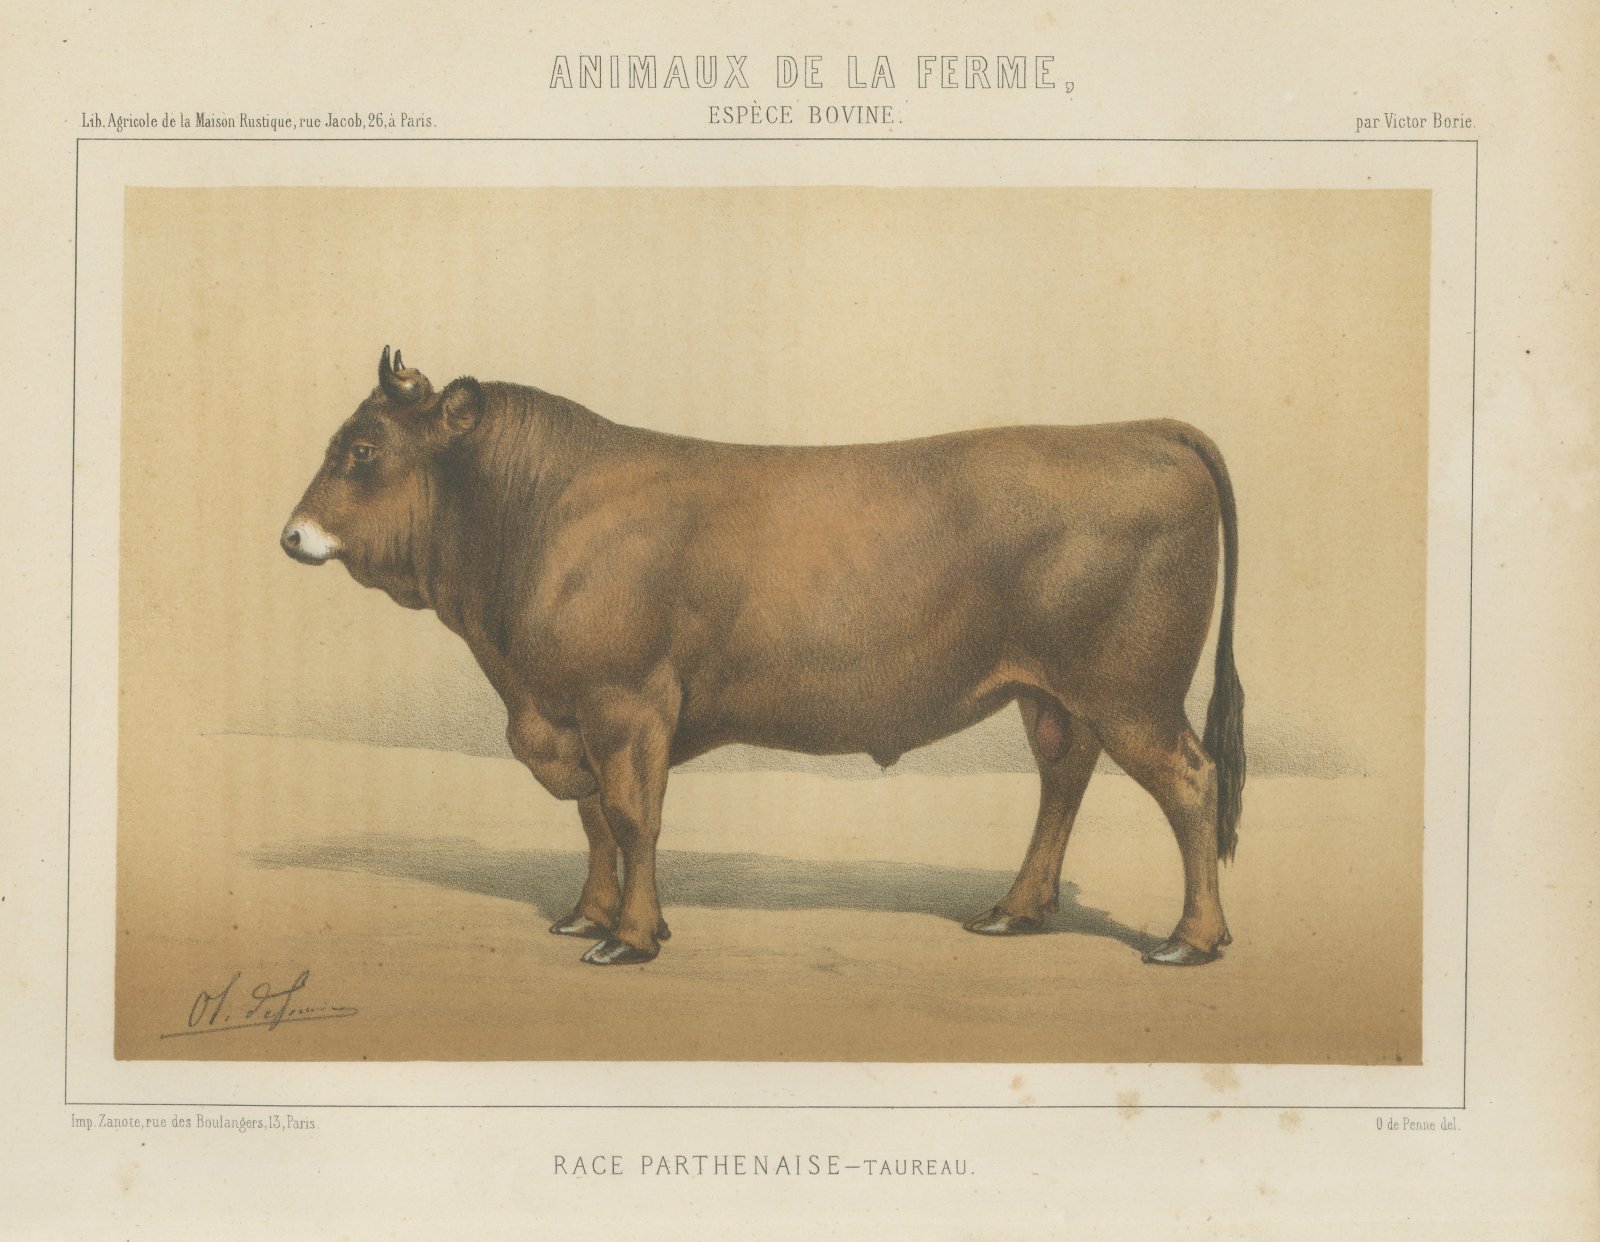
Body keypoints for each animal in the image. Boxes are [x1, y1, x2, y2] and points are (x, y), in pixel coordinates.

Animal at [281, 348, 1244, 967]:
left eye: (363, 450)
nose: (291, 535)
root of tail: (1140, 430)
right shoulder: (566, 711)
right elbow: (593, 821)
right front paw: (585, 916)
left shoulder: (624, 701)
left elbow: (632, 817)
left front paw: (630, 939)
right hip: (1058, 693)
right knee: (1065, 779)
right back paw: (1015, 913)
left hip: (1131, 691)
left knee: (1190, 783)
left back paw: (1190, 940)